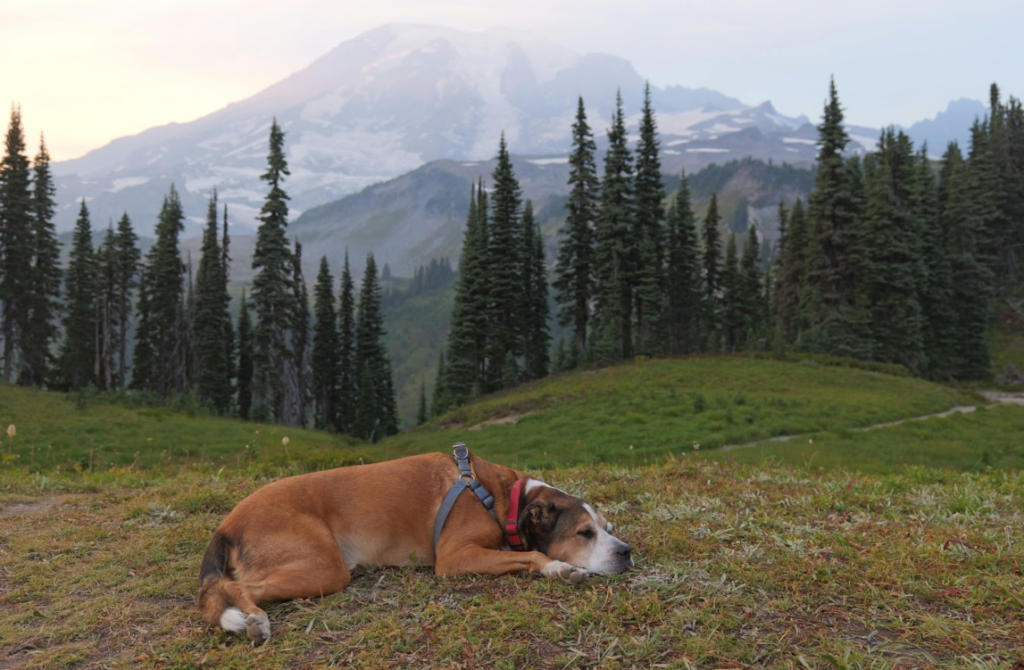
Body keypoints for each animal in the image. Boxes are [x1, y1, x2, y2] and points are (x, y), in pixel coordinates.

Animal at [197, 446, 630, 647]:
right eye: (584, 533)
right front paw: (559, 568)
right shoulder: (454, 557)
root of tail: (228, 523)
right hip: (322, 568)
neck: (505, 498)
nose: (625, 552)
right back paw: (254, 618)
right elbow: (531, 554)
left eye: (607, 527)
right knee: (234, 586)